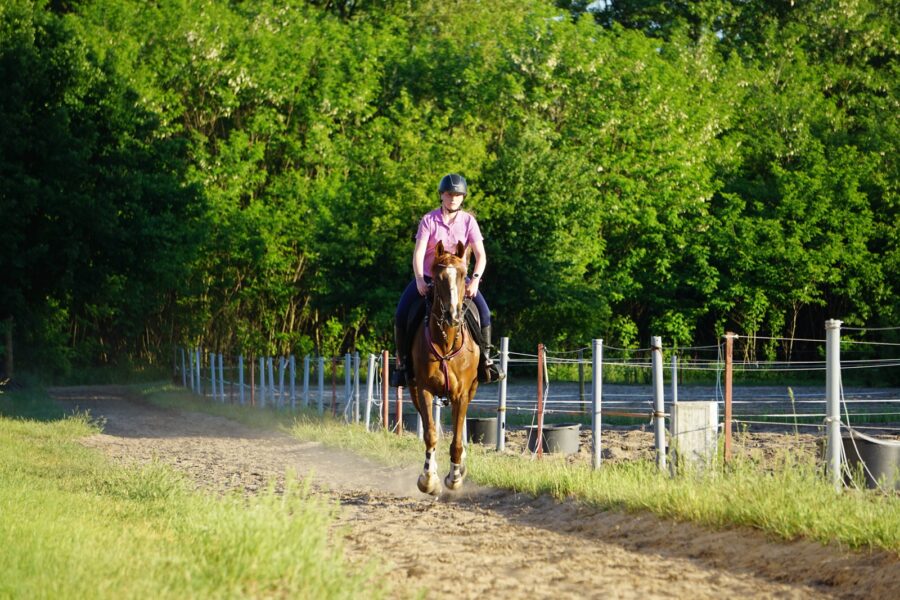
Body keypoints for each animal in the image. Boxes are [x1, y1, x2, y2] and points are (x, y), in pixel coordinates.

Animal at [408, 238, 482, 492]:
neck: (447, 343)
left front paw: (455, 476)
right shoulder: (423, 390)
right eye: (437, 276)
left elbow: (457, 439)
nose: (452, 315)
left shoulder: (461, 394)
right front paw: (428, 479)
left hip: (471, 389)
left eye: (463, 274)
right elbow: (430, 433)